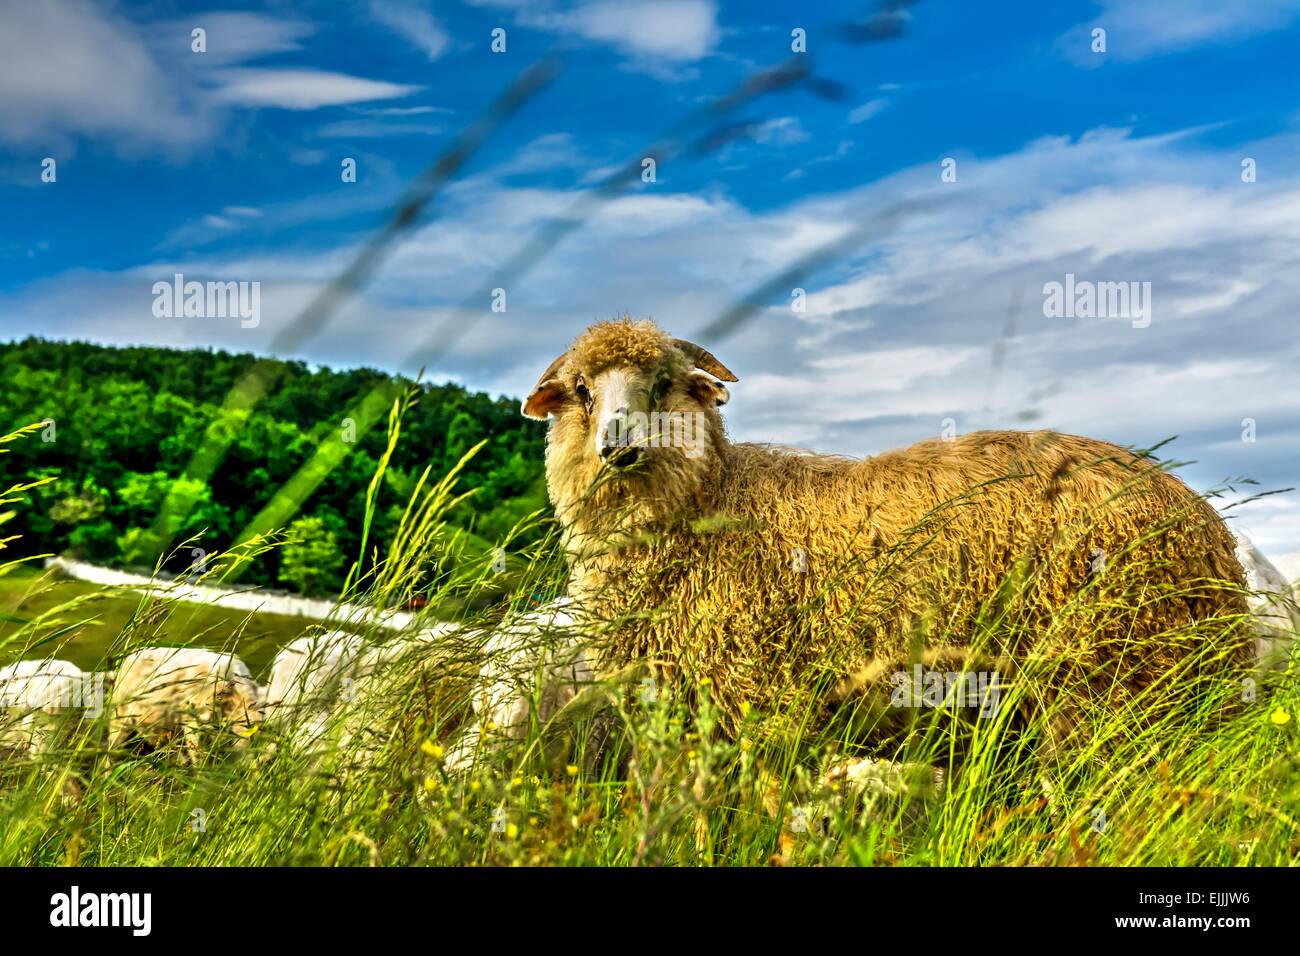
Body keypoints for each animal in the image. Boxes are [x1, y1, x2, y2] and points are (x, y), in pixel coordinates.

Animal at [520, 316, 1256, 743]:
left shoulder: (756, 696)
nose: (618, 447)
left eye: (665, 382)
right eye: (582, 391)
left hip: (1119, 671)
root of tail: (1203, 522)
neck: (715, 499)